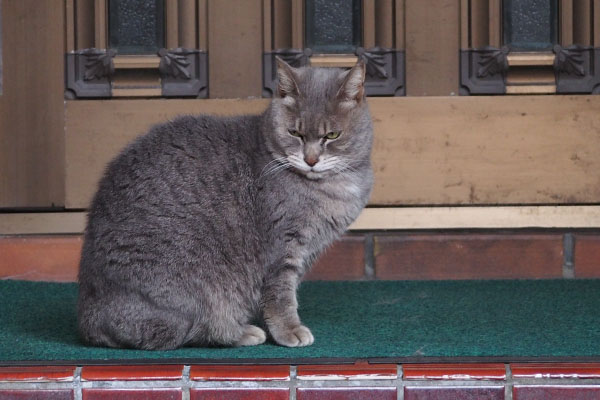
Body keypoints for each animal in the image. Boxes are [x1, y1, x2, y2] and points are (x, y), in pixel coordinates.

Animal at [77, 57, 372, 348]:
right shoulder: (282, 248)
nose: (311, 159)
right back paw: (240, 332)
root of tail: (89, 317)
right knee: (184, 331)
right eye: (294, 133)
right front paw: (289, 330)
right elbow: (281, 296)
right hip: (190, 293)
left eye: (332, 136)